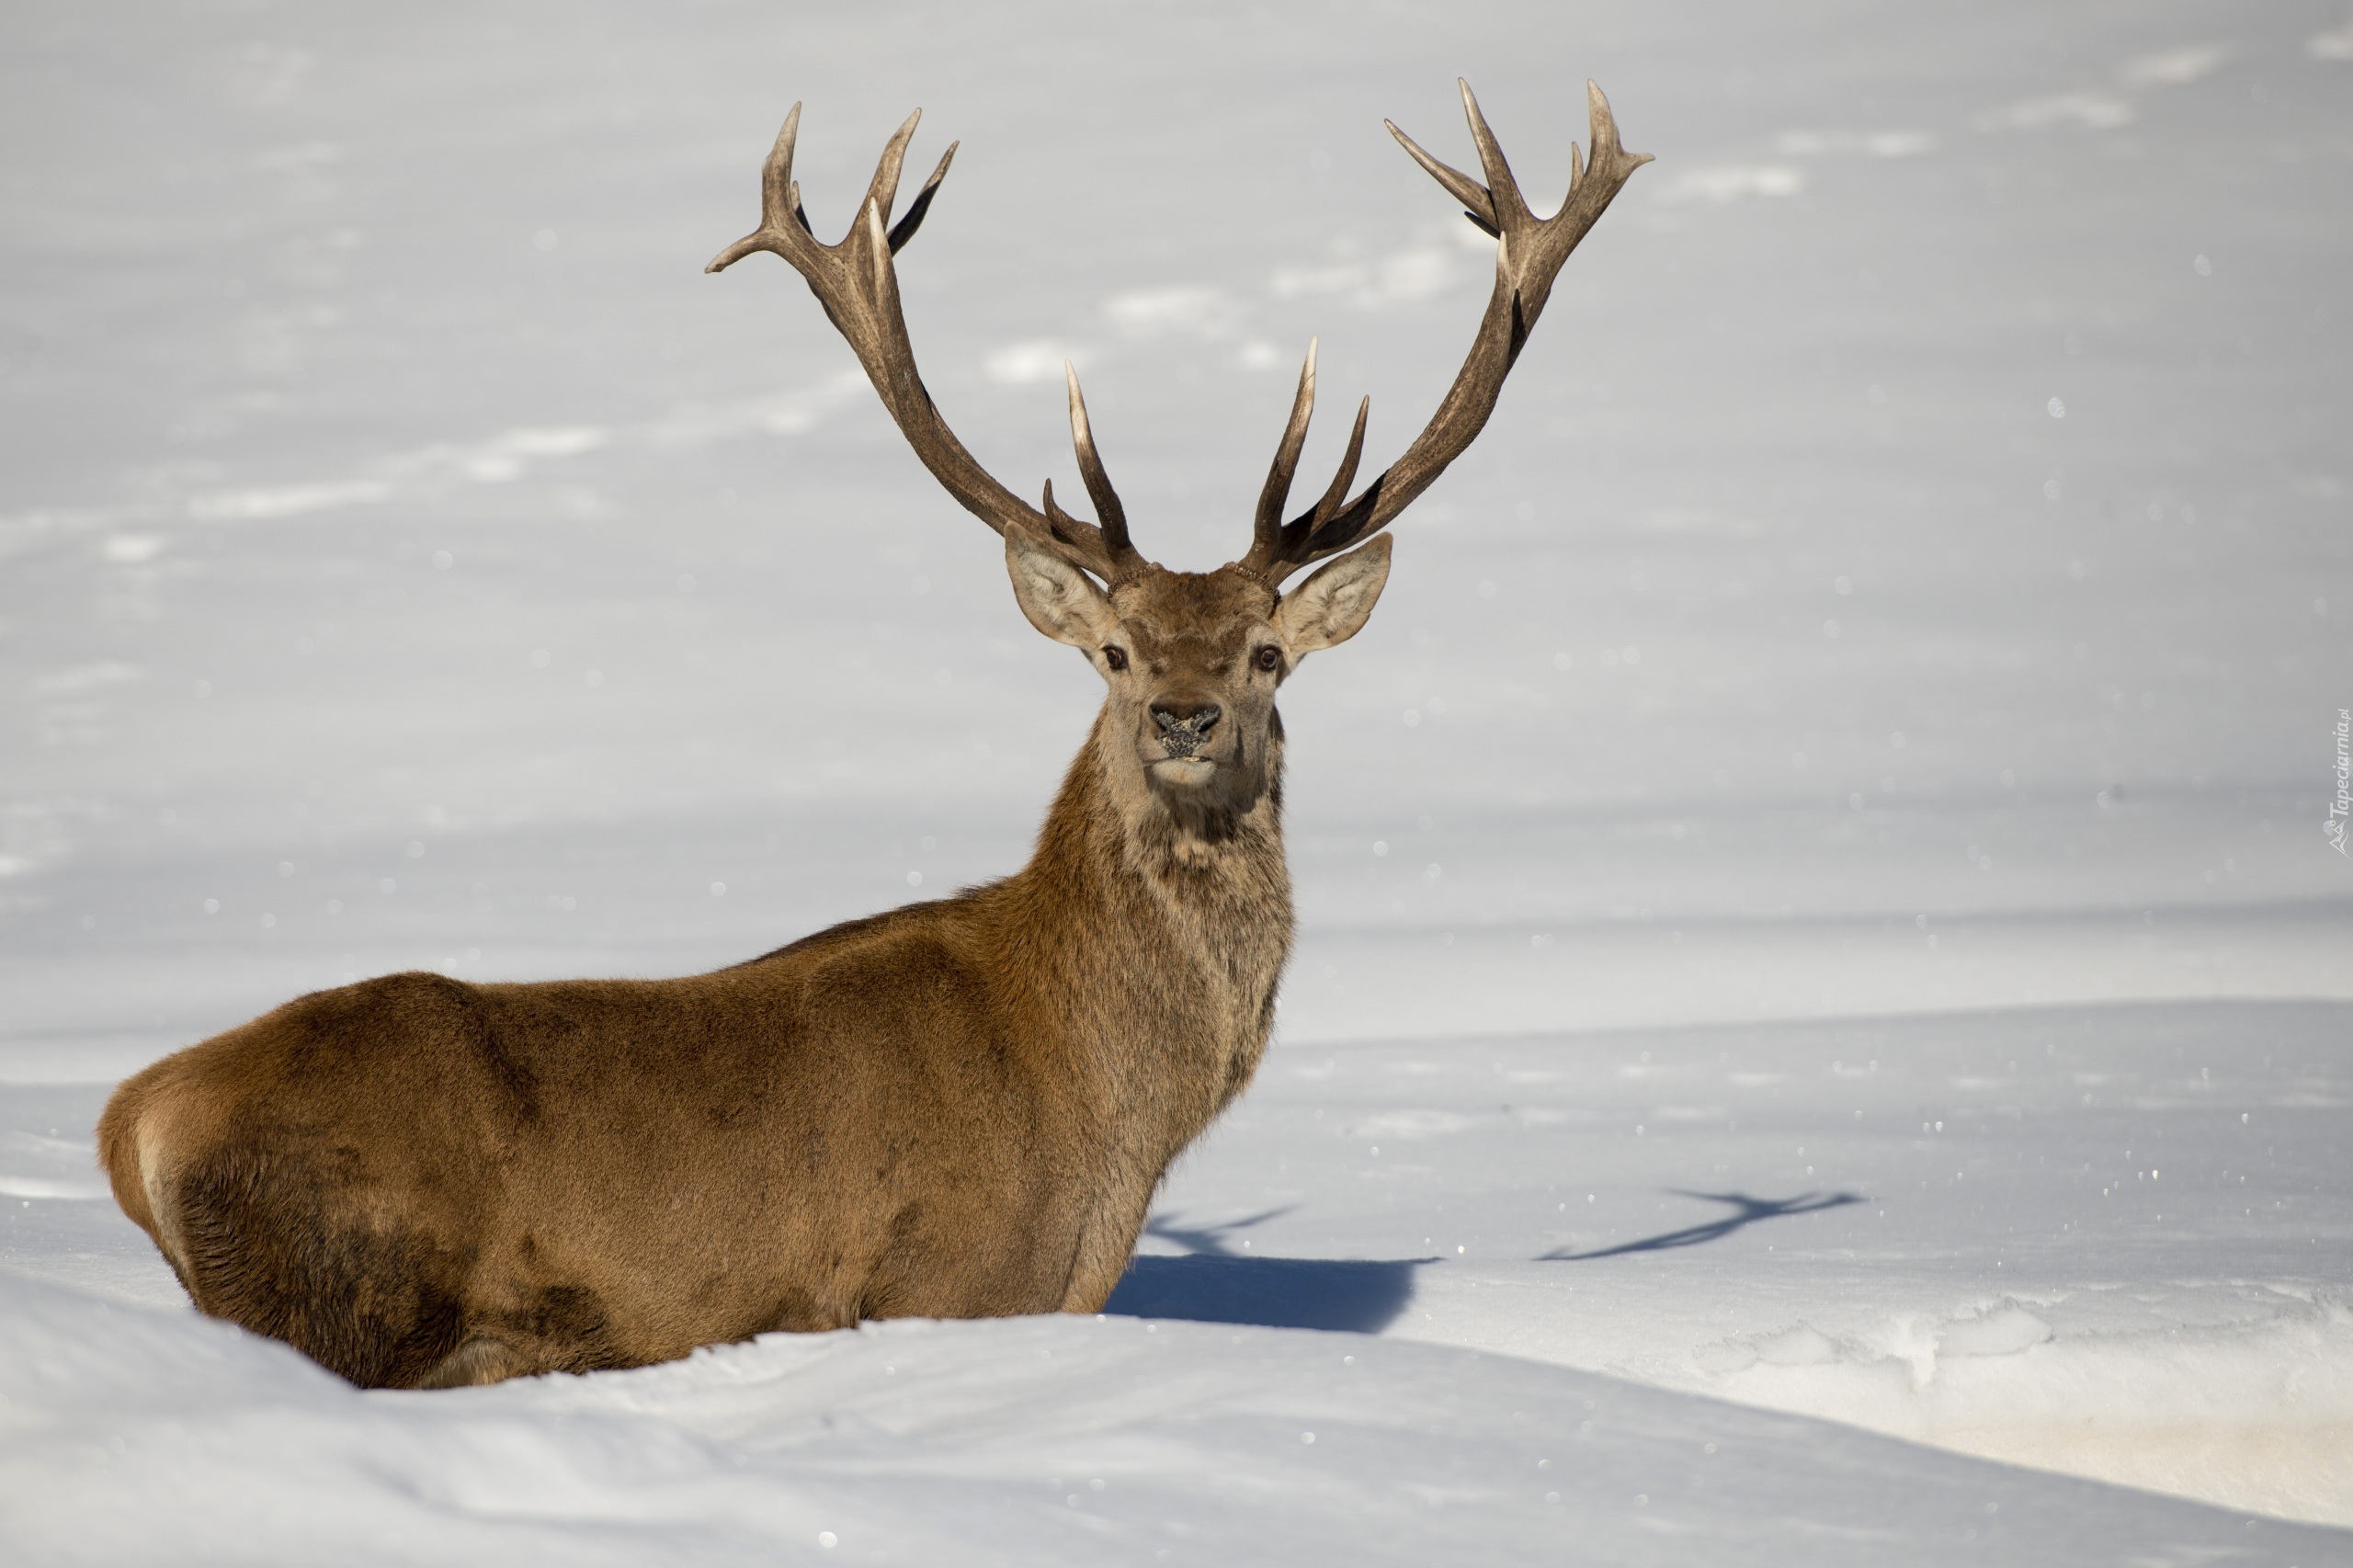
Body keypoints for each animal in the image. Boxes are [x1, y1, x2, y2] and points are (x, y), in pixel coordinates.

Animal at [101, 79, 1647, 1384]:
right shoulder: (945, 1286)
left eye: (1268, 652)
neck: (1108, 1116)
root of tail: (135, 1122)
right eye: (1116, 649)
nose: (1185, 711)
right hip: (344, 1293)